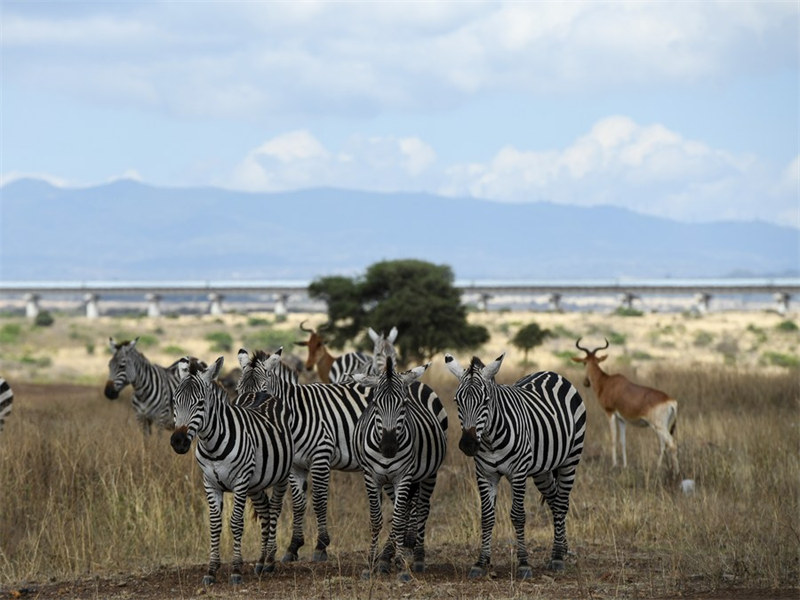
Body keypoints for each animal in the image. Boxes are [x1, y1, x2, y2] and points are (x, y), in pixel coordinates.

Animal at [170, 358, 292, 584]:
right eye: (175, 402)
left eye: (200, 403)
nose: (178, 442)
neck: (212, 446)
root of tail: (261, 393)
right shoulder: (210, 483)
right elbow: (215, 524)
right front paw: (211, 570)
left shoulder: (240, 481)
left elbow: (235, 523)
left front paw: (235, 570)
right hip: (256, 483)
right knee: (265, 511)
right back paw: (261, 562)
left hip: (281, 476)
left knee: (275, 509)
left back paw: (270, 561)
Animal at [354, 358, 446, 580]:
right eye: (375, 404)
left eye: (404, 404)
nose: (388, 448)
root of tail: (412, 381)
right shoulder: (371, 477)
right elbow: (376, 519)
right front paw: (371, 563)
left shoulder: (403, 476)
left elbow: (397, 519)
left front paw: (403, 566)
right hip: (390, 482)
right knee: (407, 509)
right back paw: (387, 557)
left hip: (429, 474)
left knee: (421, 509)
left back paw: (417, 557)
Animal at [444, 354, 588, 580]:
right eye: (457, 401)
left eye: (486, 401)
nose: (468, 444)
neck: (490, 439)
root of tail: (551, 372)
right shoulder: (485, 474)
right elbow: (487, 516)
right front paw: (481, 562)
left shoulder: (518, 473)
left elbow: (518, 516)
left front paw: (523, 564)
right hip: (543, 471)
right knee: (554, 501)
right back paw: (561, 549)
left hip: (570, 459)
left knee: (562, 503)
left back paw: (557, 557)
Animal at [572, 338, 680, 474]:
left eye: (584, 363)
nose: (585, 382)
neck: (607, 382)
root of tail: (671, 401)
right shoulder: (621, 419)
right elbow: (622, 441)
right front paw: (624, 465)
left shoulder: (610, 413)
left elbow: (613, 438)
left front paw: (614, 465)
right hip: (662, 426)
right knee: (663, 444)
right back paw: (659, 467)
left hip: (659, 426)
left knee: (672, 444)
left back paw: (676, 472)